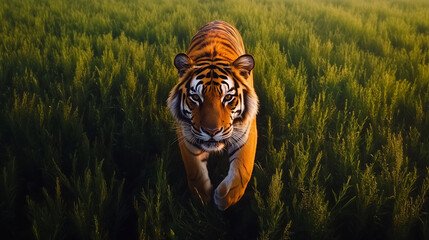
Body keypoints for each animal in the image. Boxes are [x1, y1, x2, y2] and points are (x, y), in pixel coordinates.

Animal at [167, 20, 258, 210]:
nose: (211, 132)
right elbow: (194, 172)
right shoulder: (187, 134)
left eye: (228, 97)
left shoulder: (247, 132)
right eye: (196, 97)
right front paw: (203, 198)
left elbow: (242, 171)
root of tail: (217, 20)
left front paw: (223, 198)